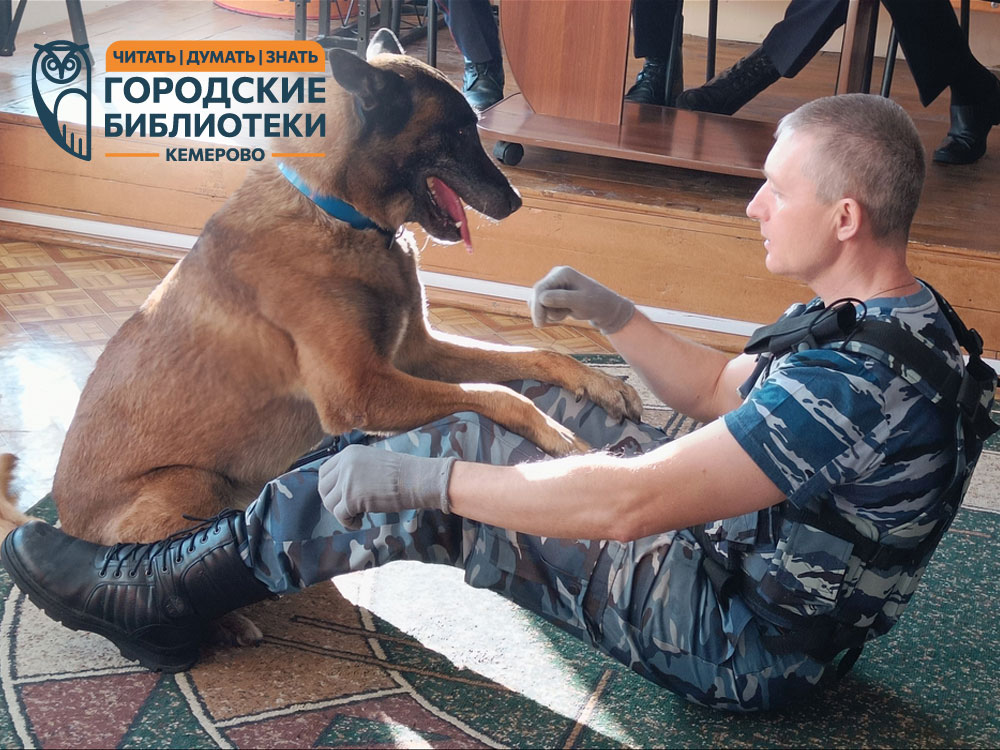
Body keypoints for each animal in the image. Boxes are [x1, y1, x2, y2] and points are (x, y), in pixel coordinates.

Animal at [45, 30, 641, 591]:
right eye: (457, 132)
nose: (516, 202)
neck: (341, 214)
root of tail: (65, 521)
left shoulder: (416, 353)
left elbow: (535, 354)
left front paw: (600, 383)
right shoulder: (364, 389)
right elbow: (497, 394)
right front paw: (559, 435)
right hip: (192, 484)